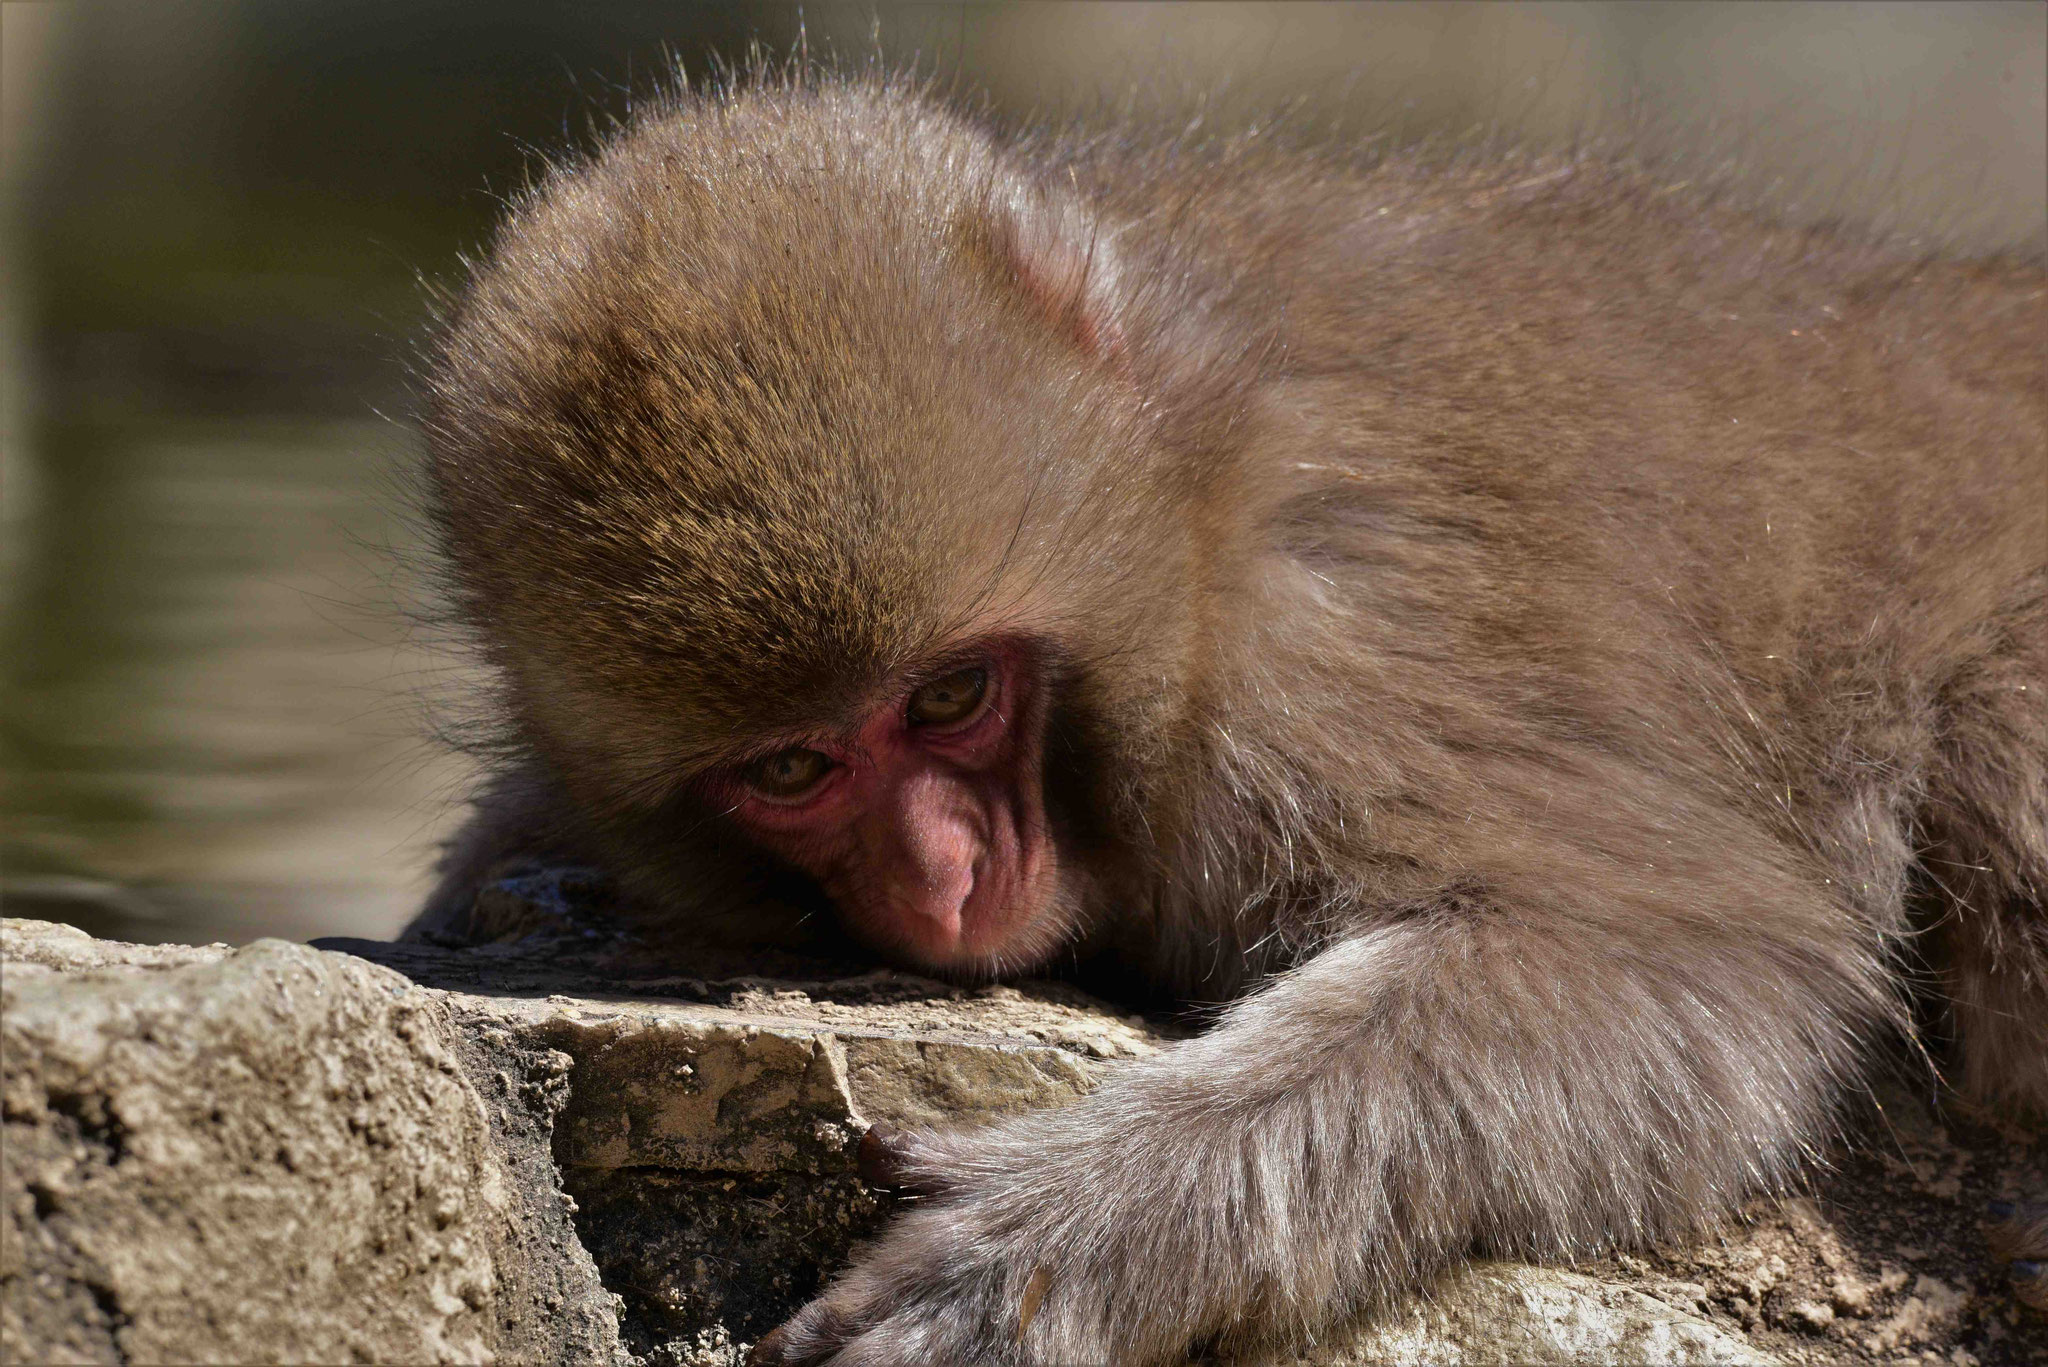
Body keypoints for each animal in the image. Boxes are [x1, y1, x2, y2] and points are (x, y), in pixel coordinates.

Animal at [407, 69, 2039, 1360]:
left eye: (951, 694)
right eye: (798, 765)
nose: (942, 877)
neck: (1186, 497)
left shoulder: (1318, 675)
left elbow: (1691, 958)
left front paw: (1038, 1246)